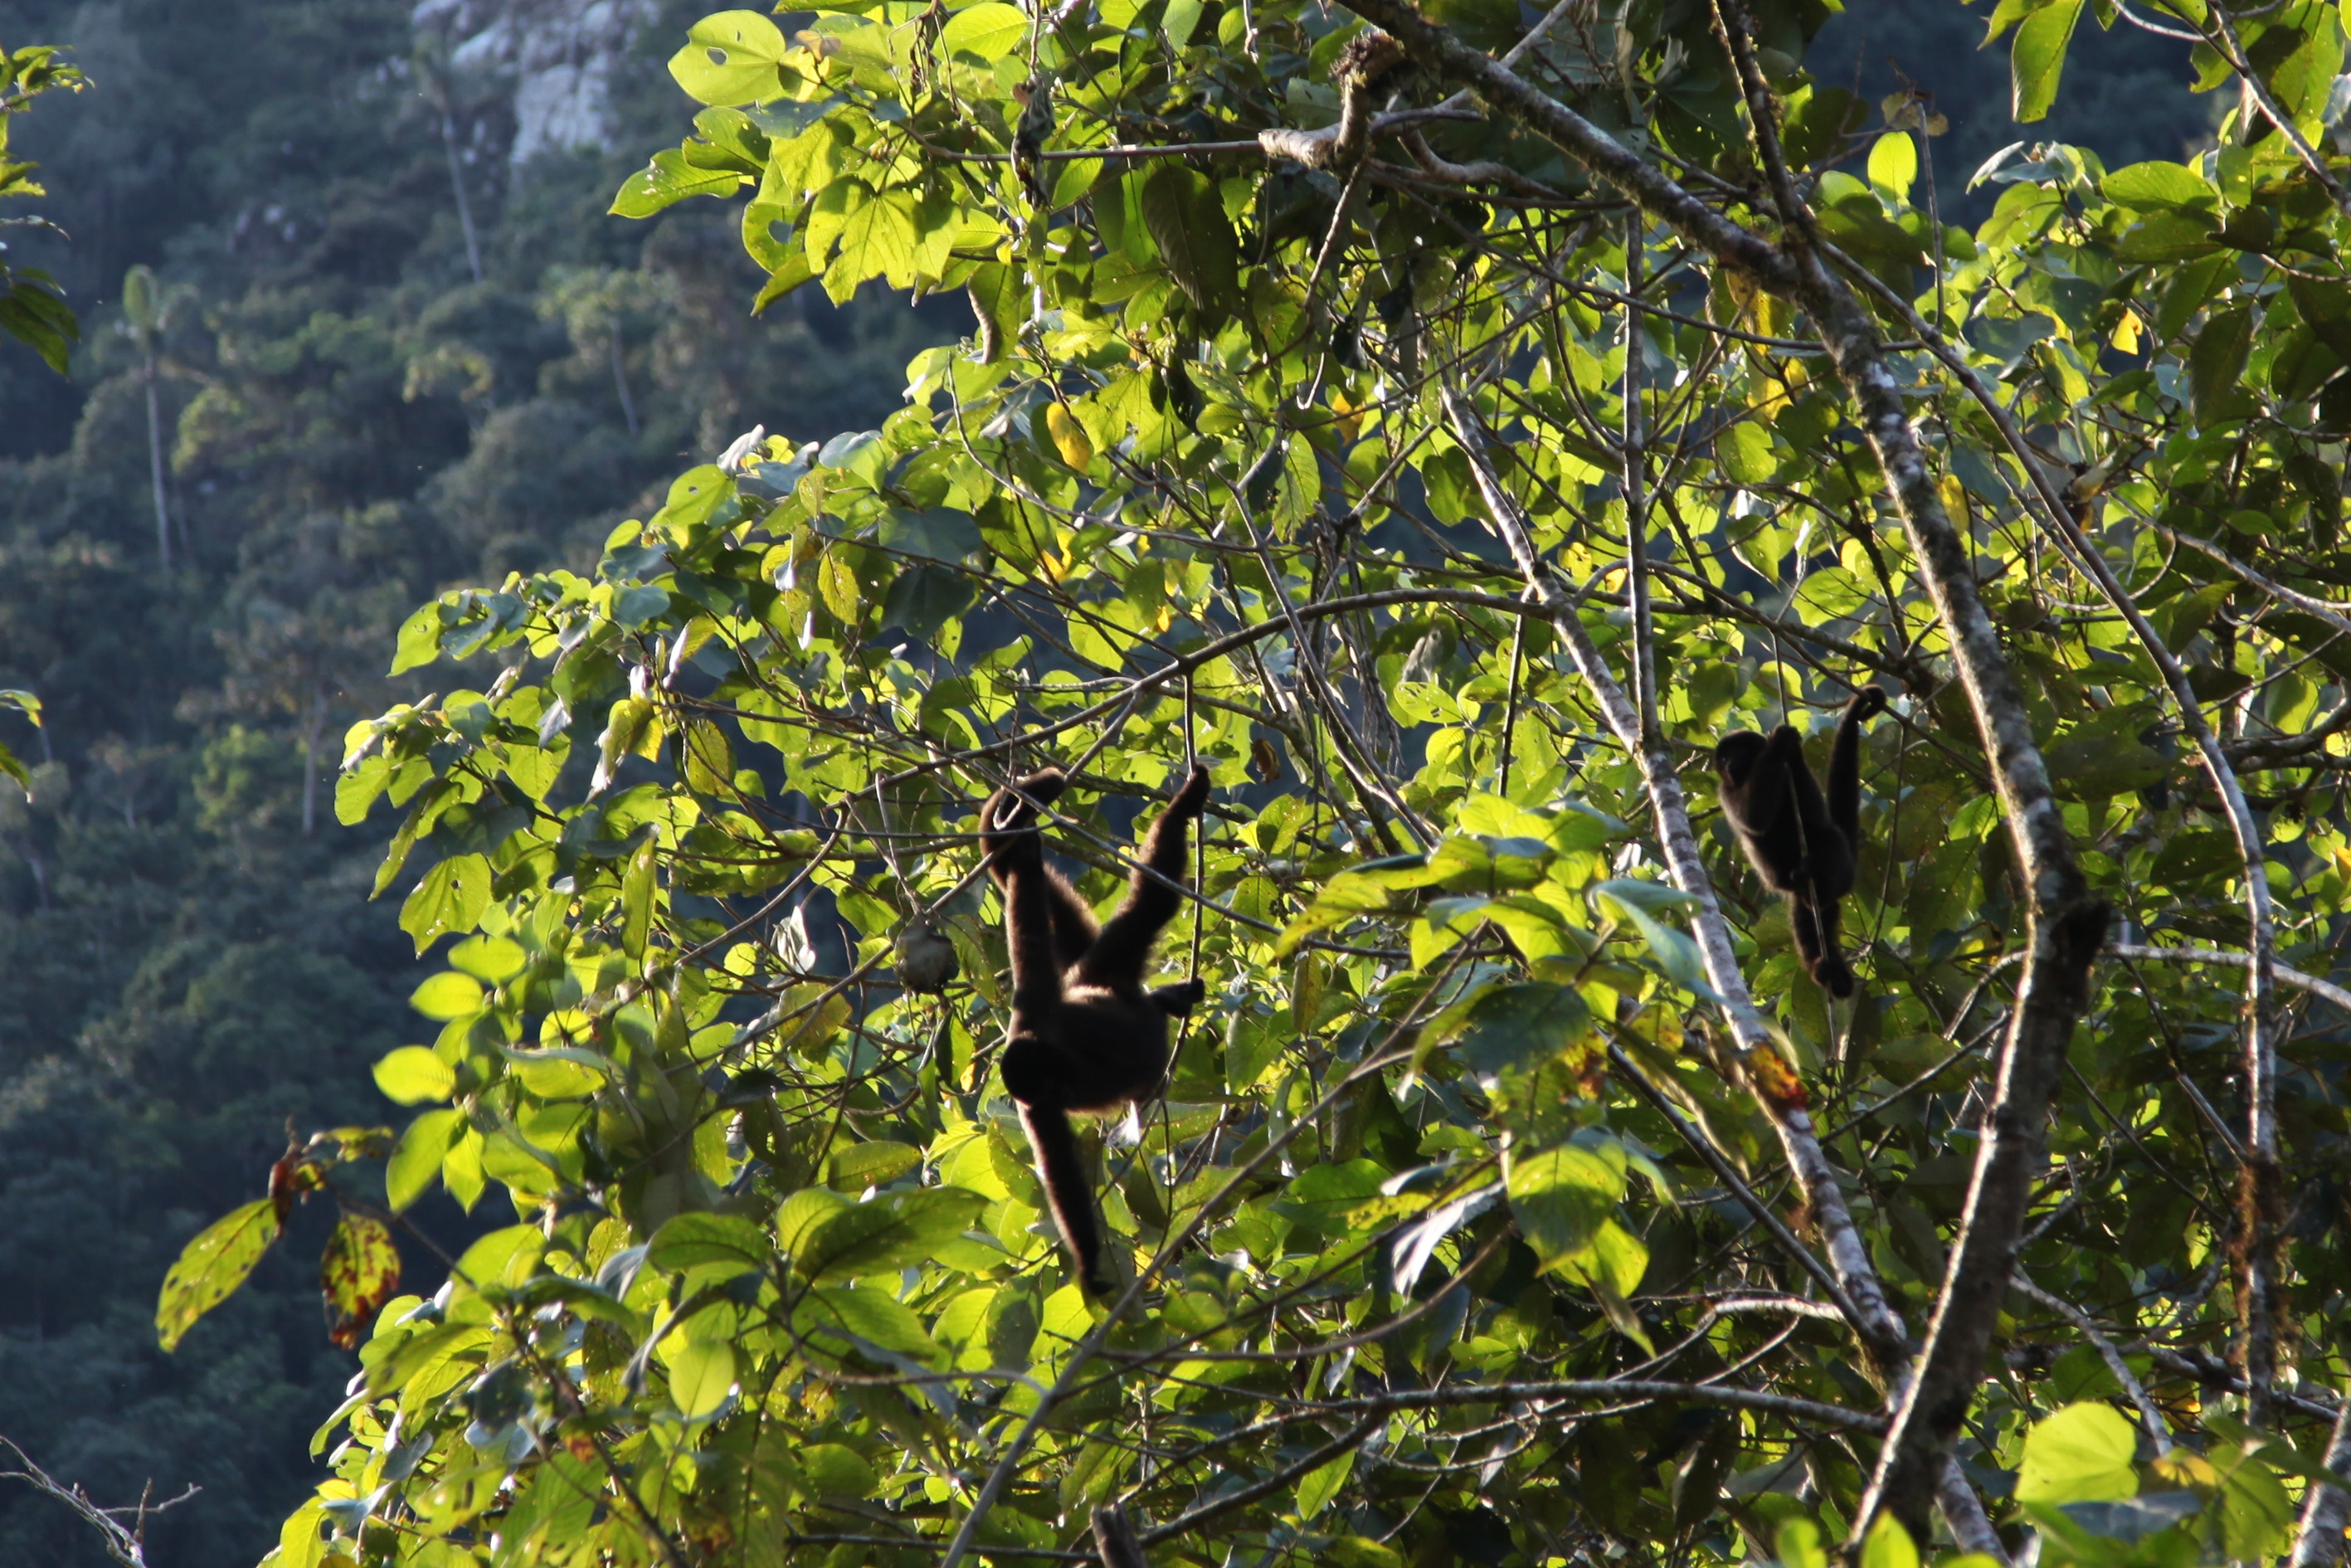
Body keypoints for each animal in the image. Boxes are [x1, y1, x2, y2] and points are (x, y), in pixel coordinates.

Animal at [980, 764, 1211, 1294]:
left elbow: (1026, 917)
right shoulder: (1034, 1078)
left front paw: (1088, 1264)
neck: (1048, 1047)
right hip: (1108, 970)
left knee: (1151, 903)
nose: (1057, 1084)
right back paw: (1169, 1001)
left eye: (1052, 1076)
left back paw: (1183, 807)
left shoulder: (1034, 1011)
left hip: (1107, 964)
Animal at [1713, 686, 1888, 999]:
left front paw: (1786, 745)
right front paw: (1780, 743)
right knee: (1806, 918)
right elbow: (1754, 817)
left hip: (1842, 870)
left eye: (1740, 751)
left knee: (1829, 838)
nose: (1730, 763)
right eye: (1724, 758)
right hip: (1802, 895)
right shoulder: (1725, 790)